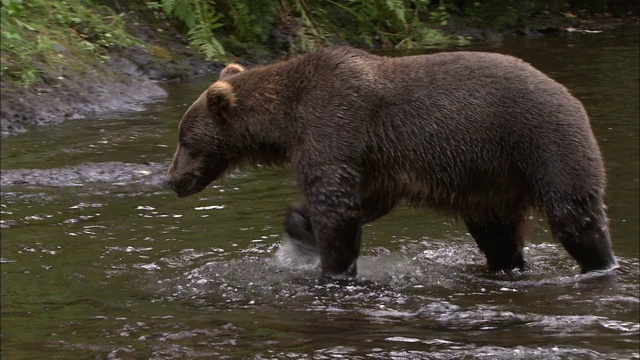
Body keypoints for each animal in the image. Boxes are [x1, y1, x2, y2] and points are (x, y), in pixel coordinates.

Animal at [162, 46, 616, 280]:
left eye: (185, 141)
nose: (171, 180)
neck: (287, 119)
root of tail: (570, 94)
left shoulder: (335, 123)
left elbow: (337, 207)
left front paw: (332, 269)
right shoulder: (370, 159)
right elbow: (360, 202)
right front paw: (300, 226)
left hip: (541, 142)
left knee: (574, 214)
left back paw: (598, 264)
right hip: (491, 179)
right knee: (498, 233)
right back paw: (505, 266)